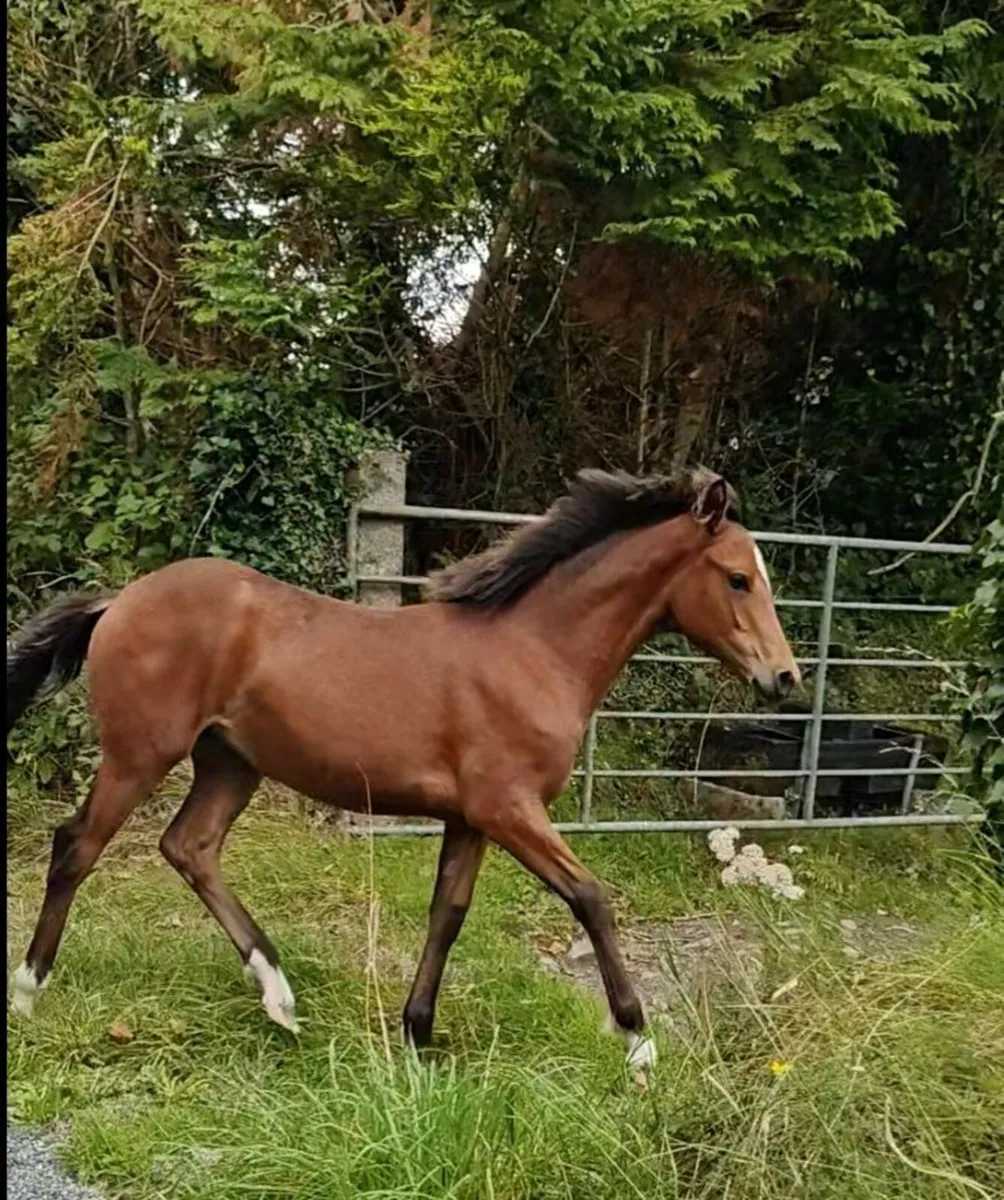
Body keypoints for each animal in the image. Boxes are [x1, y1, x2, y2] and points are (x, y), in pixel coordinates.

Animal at [7, 467, 799, 1071]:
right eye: (737, 578)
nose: (785, 677)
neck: (534, 652)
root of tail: (121, 598)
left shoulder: (471, 817)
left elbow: (448, 913)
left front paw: (417, 1034)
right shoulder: (511, 809)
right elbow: (591, 898)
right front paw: (638, 1040)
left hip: (229, 763)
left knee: (189, 847)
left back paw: (279, 997)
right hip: (140, 753)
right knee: (76, 846)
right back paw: (28, 987)